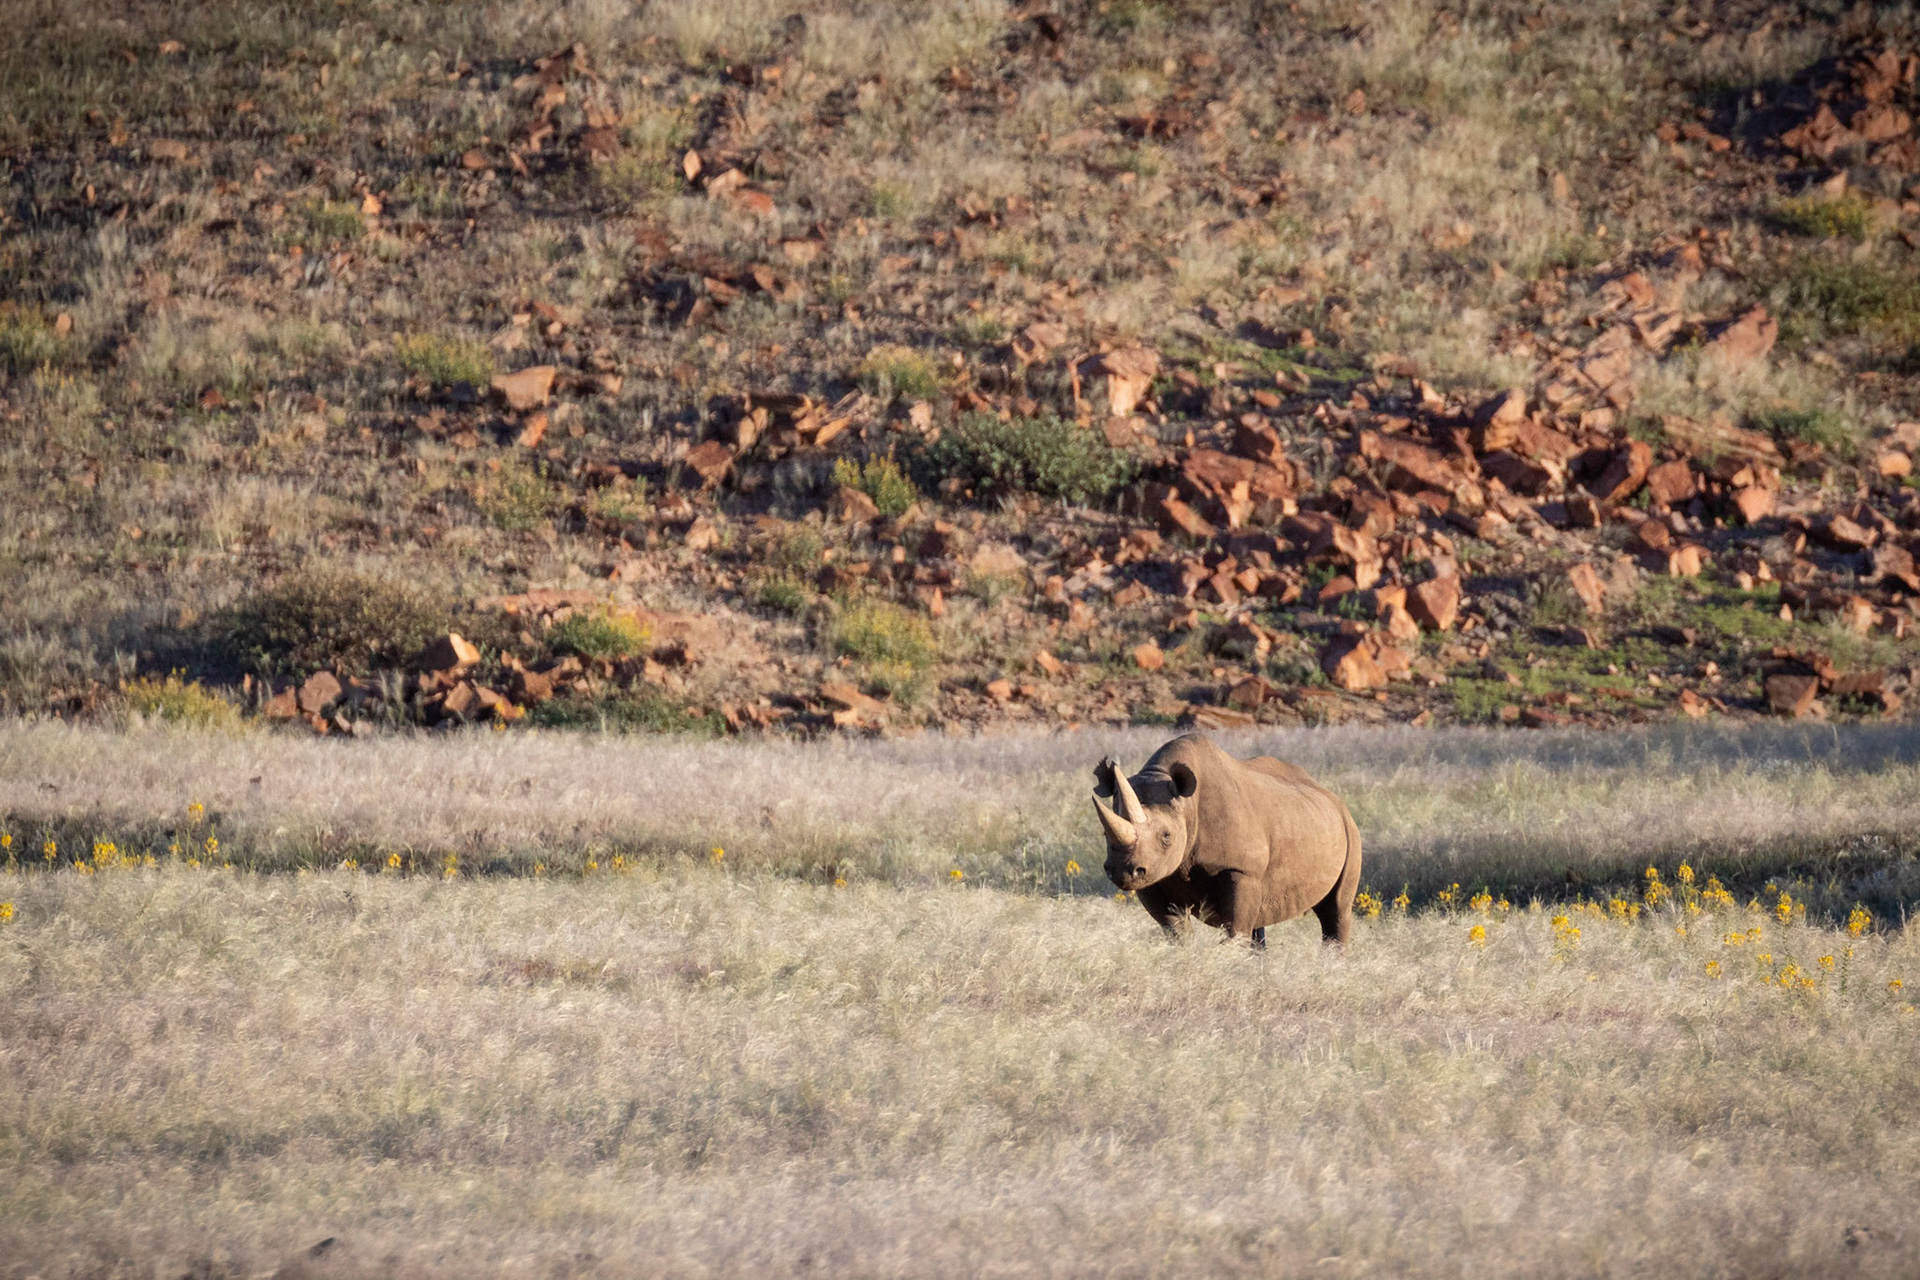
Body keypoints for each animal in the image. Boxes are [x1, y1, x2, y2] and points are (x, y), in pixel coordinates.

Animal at [1091, 733, 1362, 947]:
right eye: (1104, 834)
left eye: (1166, 836)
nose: (1123, 872)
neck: (1187, 806)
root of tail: (1335, 800)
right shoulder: (1155, 874)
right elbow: (1175, 928)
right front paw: (1186, 951)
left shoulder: (1241, 868)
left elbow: (1236, 926)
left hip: (1351, 831)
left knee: (1336, 909)